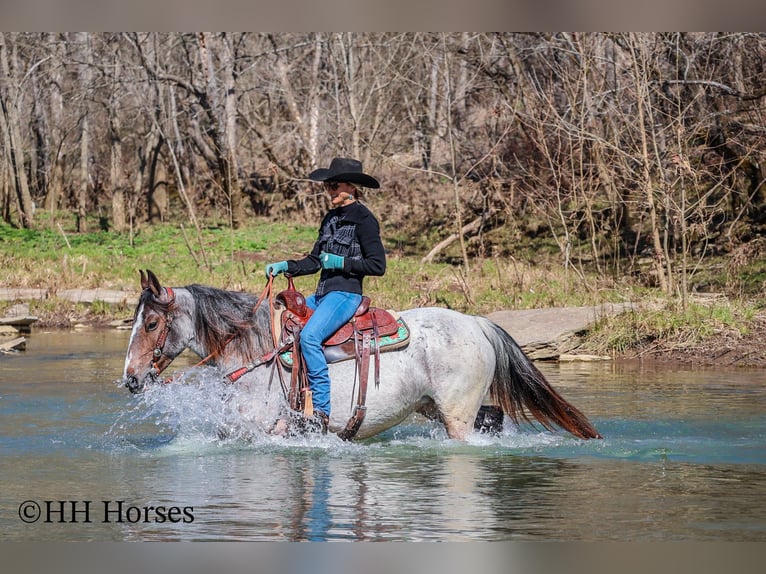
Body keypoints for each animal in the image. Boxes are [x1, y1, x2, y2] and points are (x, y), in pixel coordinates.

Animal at [121, 269, 602, 441]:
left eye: (151, 324)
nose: (130, 378)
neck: (257, 352)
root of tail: (477, 323)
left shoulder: (264, 428)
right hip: (435, 407)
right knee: (494, 417)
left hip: (456, 415)